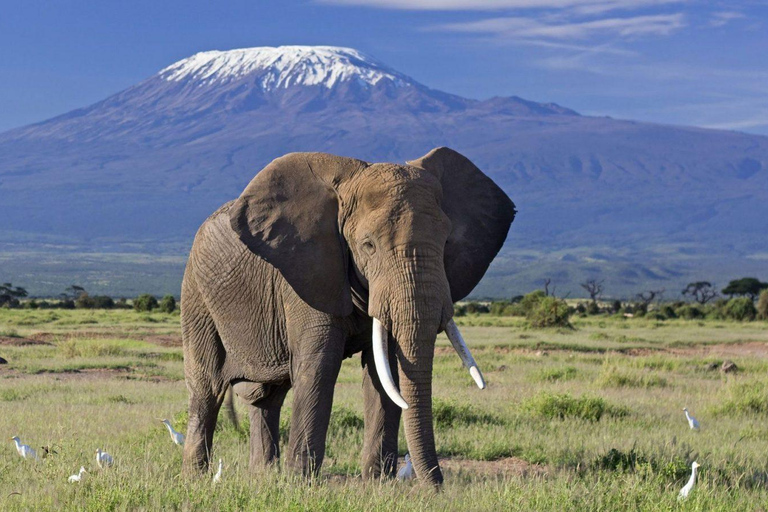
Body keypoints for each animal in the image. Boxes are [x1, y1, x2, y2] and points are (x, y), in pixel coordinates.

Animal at [180, 146, 516, 486]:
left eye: (446, 242)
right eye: (368, 245)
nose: (437, 488)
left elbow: (386, 369)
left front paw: (378, 485)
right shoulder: (308, 272)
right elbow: (320, 366)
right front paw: (302, 484)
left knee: (268, 396)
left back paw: (264, 476)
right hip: (196, 294)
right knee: (207, 387)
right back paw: (196, 478)